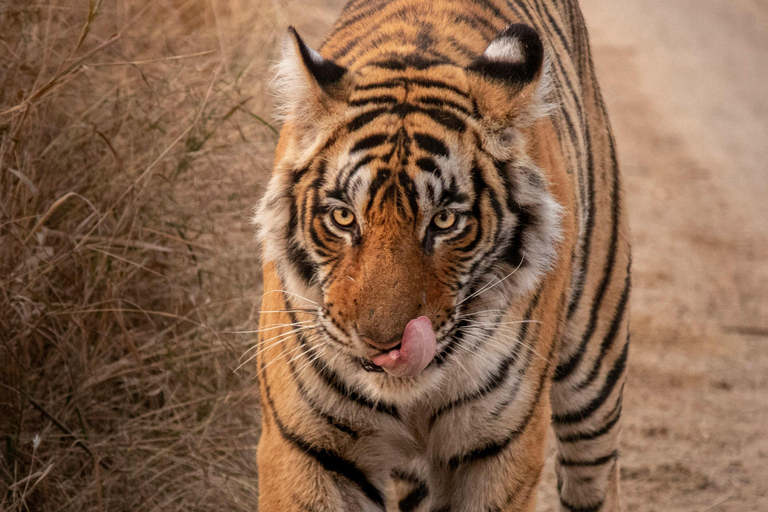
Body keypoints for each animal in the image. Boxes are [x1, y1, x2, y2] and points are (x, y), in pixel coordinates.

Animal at [254, 0, 632, 510]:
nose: (386, 346)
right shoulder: (306, 446)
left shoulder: (498, 449)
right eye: (344, 218)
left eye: (445, 221)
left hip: (595, 365)